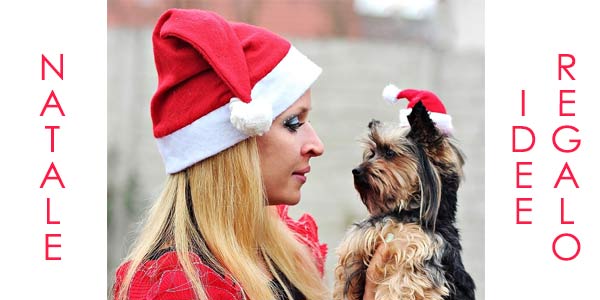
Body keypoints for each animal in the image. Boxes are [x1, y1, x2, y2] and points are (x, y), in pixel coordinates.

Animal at [332, 101, 474, 300]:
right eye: (372, 153)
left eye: (390, 153)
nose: (356, 171)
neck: (403, 213)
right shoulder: (359, 243)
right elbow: (347, 273)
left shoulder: (416, 256)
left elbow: (401, 285)